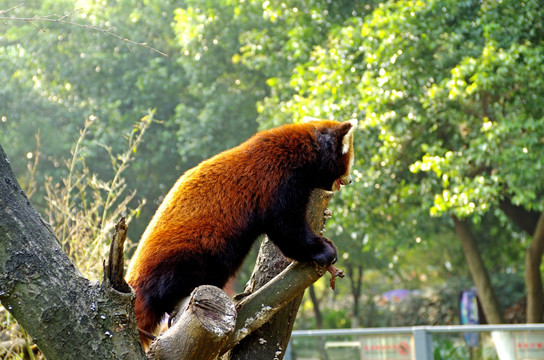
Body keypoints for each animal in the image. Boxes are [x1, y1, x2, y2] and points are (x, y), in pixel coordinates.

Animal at [126, 119, 360, 344]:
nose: (350, 180)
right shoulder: (276, 184)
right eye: (349, 161)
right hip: (193, 248)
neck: (299, 153)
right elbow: (288, 231)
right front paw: (322, 250)